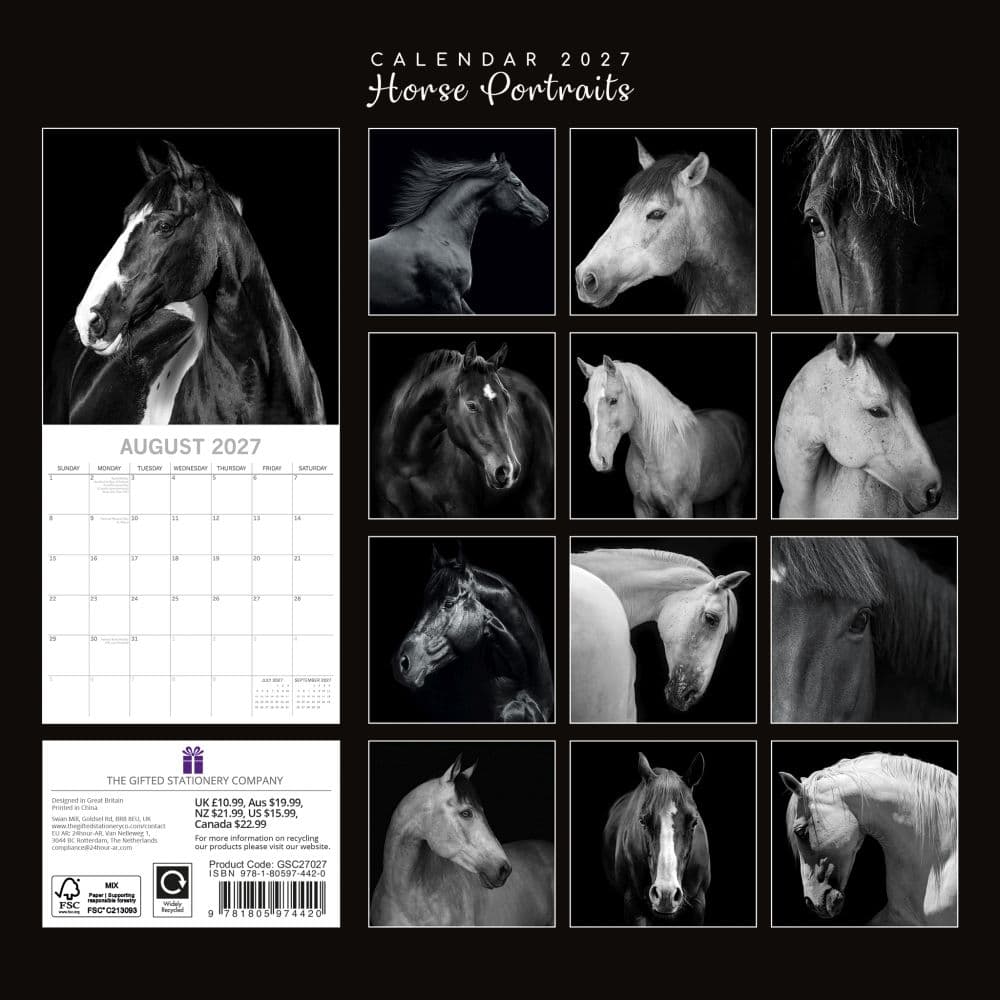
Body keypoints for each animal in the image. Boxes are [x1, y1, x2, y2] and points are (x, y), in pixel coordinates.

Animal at [577, 355, 752, 518]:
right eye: (586, 402)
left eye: (613, 400)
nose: (597, 459)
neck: (654, 453)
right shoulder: (642, 507)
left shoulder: (682, 507)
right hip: (706, 499)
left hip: (736, 493)